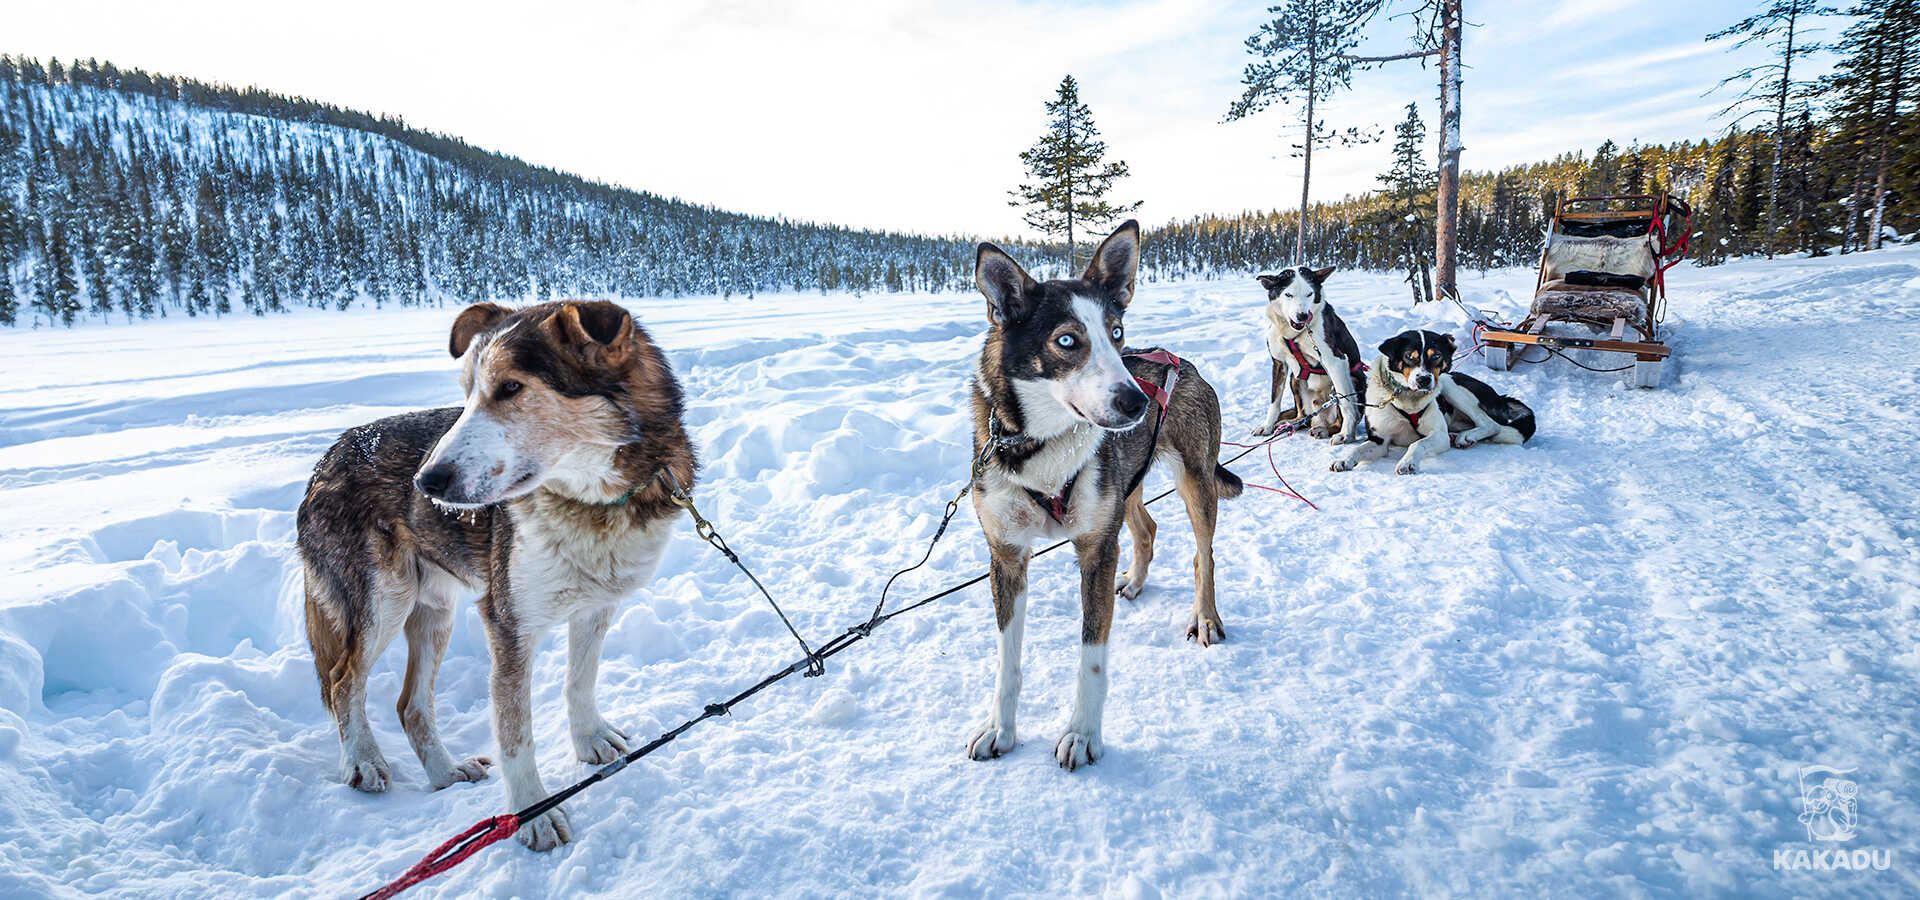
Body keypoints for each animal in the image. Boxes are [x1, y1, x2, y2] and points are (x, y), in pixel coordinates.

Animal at [295, 299, 695, 848]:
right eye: (466, 395)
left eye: (509, 388)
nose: (426, 480)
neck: (588, 504)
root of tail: (327, 457)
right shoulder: (508, 626)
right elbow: (515, 735)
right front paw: (532, 813)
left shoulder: (596, 607)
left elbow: (580, 681)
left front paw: (589, 739)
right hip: (384, 603)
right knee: (342, 680)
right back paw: (363, 761)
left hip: (434, 615)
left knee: (410, 705)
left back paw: (445, 773)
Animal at [960, 220, 1244, 767]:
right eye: (1067, 340)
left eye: (1116, 334)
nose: (1135, 400)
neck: (1042, 449)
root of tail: (1184, 363)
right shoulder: (1007, 556)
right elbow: (1008, 660)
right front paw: (999, 728)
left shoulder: (1095, 550)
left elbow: (1091, 658)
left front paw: (1083, 735)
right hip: (1124, 486)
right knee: (1146, 529)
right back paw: (1134, 581)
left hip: (1194, 483)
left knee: (1204, 555)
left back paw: (1205, 617)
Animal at [1251, 264, 1374, 439]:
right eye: (1288, 294)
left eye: (1309, 294)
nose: (1302, 316)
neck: (1293, 333)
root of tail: (1319, 417)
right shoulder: (1279, 364)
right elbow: (1274, 401)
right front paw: (1266, 426)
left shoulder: (1336, 361)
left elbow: (1345, 403)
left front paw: (1346, 434)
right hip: (1294, 379)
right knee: (1302, 416)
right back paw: (1290, 423)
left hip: (1350, 380)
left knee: (1343, 414)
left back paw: (1328, 430)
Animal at [1336, 326, 1528, 473]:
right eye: (1409, 356)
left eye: (1436, 356)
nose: (1424, 380)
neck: (1407, 398)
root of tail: (1500, 397)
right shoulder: (1380, 440)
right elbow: (1357, 449)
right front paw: (1344, 460)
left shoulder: (1439, 435)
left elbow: (1417, 444)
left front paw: (1407, 462)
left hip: (1450, 385)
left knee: (1491, 424)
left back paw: (1467, 436)